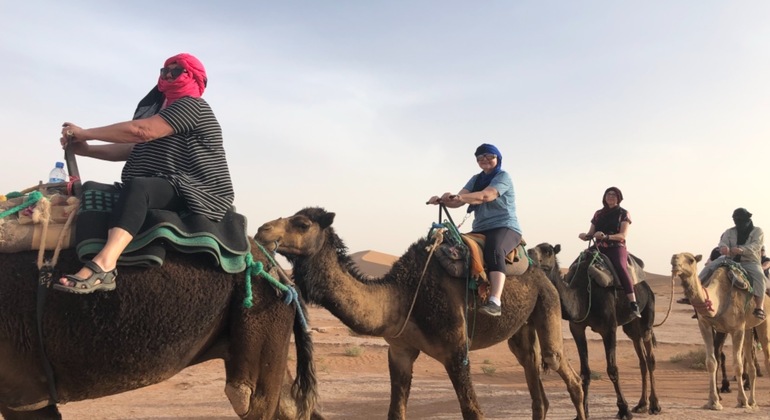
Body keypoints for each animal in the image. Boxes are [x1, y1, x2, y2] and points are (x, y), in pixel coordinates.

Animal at [0, 238, 318, 418]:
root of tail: (278, 272)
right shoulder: (28, 395)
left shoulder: (23, 394)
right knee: (289, 405)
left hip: (261, 310)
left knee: (246, 397)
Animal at [255, 208, 584, 420]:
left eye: (301, 223)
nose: (261, 230)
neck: (403, 295)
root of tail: (539, 272)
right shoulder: (400, 350)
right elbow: (395, 412)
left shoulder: (456, 352)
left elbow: (473, 412)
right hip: (521, 329)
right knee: (535, 383)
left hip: (547, 301)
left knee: (564, 369)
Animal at [528, 244, 660, 418]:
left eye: (548, 251)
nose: (529, 252)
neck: (583, 295)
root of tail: (646, 285)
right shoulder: (577, 328)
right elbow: (585, 372)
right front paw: (583, 411)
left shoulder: (609, 328)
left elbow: (612, 369)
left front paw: (623, 410)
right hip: (631, 327)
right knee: (642, 359)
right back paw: (641, 404)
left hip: (647, 315)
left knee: (650, 358)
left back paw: (654, 405)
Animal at [664, 253, 768, 410]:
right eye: (673, 257)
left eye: (691, 260)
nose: (675, 261)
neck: (719, 296)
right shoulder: (705, 326)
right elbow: (711, 362)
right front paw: (713, 401)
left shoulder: (737, 329)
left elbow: (737, 364)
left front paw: (742, 401)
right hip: (749, 328)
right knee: (751, 362)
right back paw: (753, 401)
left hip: (763, 323)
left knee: (766, 354)